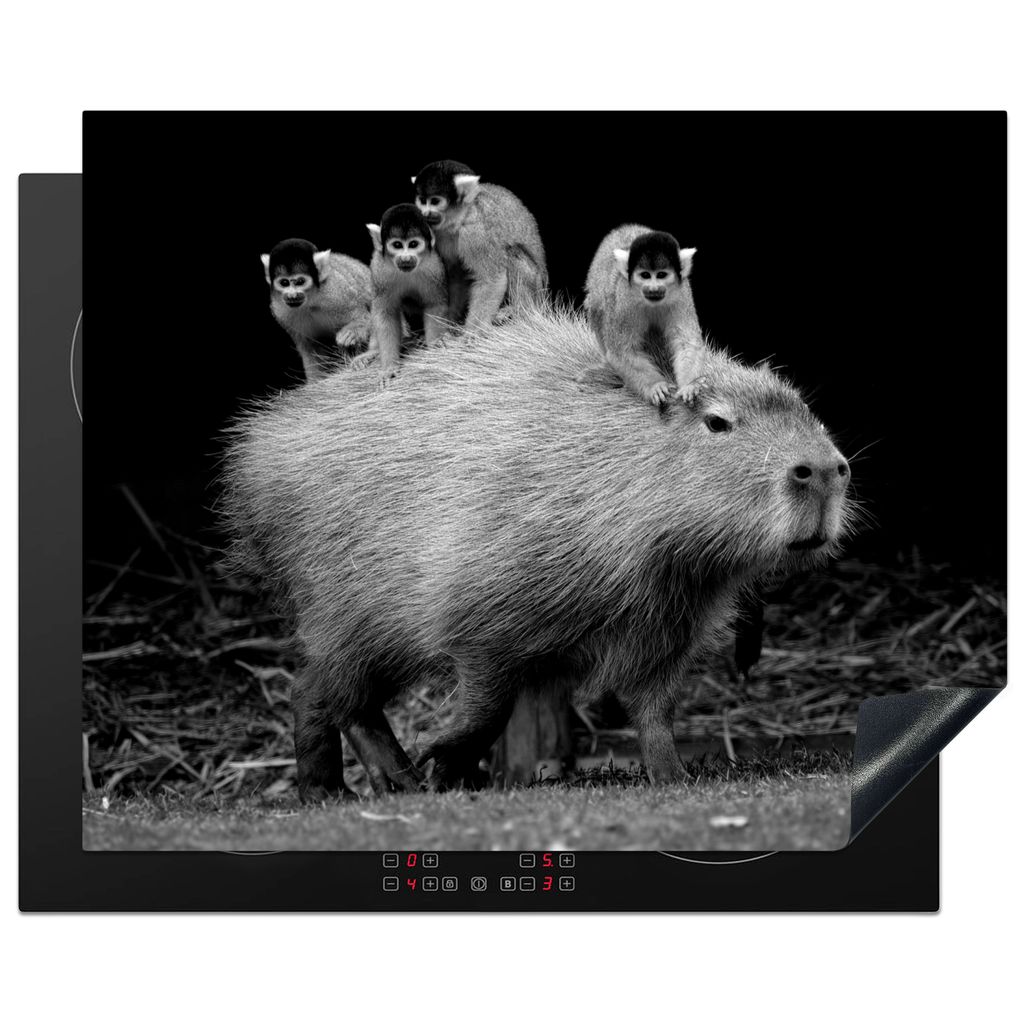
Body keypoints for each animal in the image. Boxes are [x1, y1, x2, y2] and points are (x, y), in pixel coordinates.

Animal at [261, 238, 372, 382]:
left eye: (300, 281)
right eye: (284, 283)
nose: (292, 295)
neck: (311, 301)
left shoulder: (337, 292)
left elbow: (366, 318)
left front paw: (351, 333)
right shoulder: (280, 311)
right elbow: (311, 349)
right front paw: (315, 382)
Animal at [362, 204, 449, 383]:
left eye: (413, 244)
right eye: (397, 245)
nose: (406, 258)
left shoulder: (434, 267)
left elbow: (435, 304)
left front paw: (435, 343)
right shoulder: (379, 270)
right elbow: (385, 314)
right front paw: (389, 367)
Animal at [411, 160, 547, 332]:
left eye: (435, 201)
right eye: (422, 201)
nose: (425, 213)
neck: (462, 217)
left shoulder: (476, 234)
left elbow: (491, 279)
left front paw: (472, 333)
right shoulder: (438, 233)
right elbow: (456, 276)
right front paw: (448, 323)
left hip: (537, 289)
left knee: (513, 253)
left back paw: (519, 312)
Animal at [583, 225, 705, 407]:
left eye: (661, 275)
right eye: (645, 275)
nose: (653, 288)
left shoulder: (682, 293)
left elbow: (686, 342)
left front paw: (690, 385)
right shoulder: (624, 299)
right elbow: (622, 351)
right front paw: (656, 386)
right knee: (599, 306)